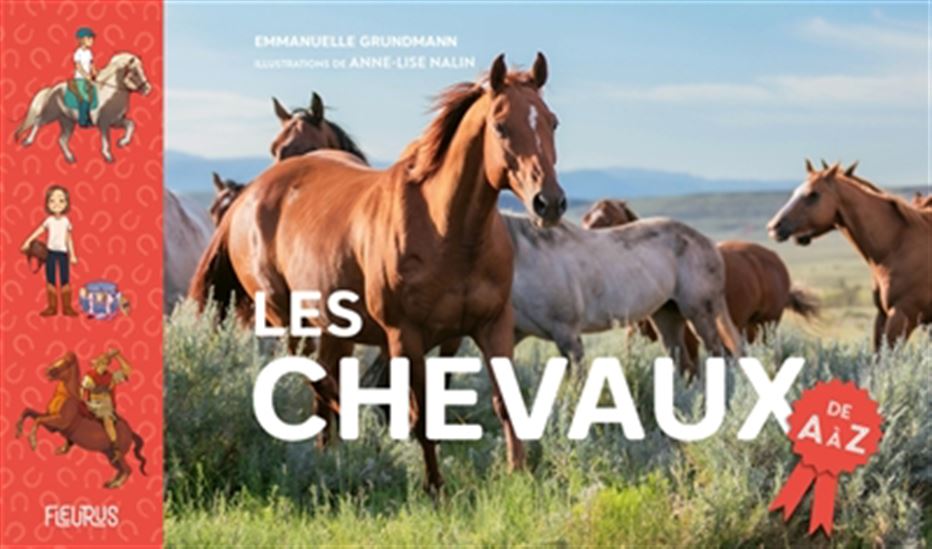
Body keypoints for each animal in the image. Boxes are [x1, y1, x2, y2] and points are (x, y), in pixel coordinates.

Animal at [13, 52, 152, 163]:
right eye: (135, 72)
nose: (147, 89)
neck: (110, 92)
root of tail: (53, 89)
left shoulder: (116, 120)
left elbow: (131, 124)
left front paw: (122, 142)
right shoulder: (104, 123)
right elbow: (106, 140)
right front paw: (108, 156)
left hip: (67, 121)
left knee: (62, 140)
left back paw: (70, 158)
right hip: (51, 114)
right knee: (38, 122)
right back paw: (28, 141)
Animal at [15, 352, 147, 489]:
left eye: (67, 362)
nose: (48, 371)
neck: (66, 397)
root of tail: (131, 432)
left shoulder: (59, 422)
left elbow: (38, 420)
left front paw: (33, 442)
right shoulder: (51, 423)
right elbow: (29, 412)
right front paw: (18, 431)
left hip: (118, 455)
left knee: (127, 469)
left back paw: (115, 484)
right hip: (109, 455)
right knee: (121, 469)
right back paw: (110, 482)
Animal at [190, 53, 566, 492]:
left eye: (552, 121)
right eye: (500, 126)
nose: (549, 203)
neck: (448, 230)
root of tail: (249, 198)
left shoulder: (489, 326)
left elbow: (505, 403)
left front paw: (519, 477)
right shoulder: (405, 336)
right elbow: (419, 414)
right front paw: (435, 489)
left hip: (334, 331)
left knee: (326, 389)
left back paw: (330, 455)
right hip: (288, 319)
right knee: (319, 384)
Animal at [501, 211, 741, 377]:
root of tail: (709, 243)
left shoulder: (566, 333)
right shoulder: (513, 333)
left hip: (700, 313)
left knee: (720, 355)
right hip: (667, 315)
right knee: (684, 364)